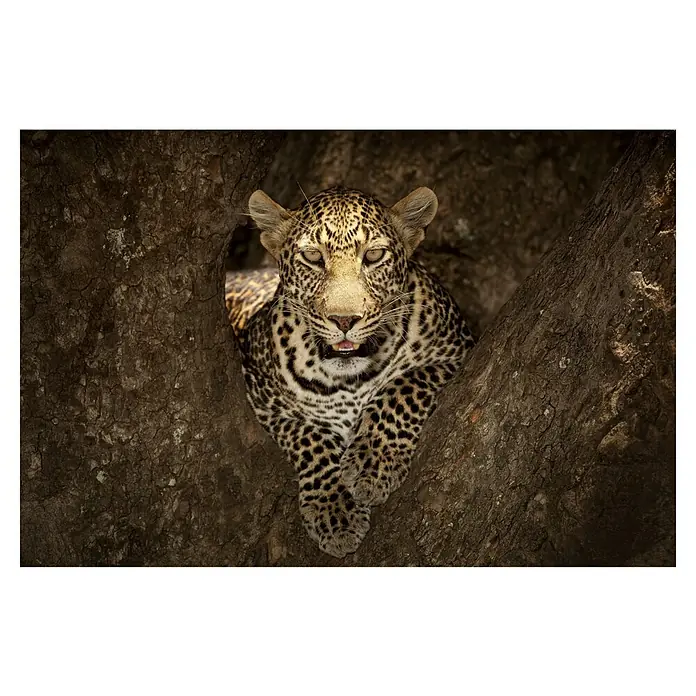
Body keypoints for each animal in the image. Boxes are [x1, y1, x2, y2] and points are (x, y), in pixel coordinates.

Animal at [225, 185, 476, 558]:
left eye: (373, 256)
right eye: (313, 257)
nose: (344, 321)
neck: (349, 379)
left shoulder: (457, 351)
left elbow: (402, 387)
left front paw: (373, 463)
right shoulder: (262, 398)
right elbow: (309, 436)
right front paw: (335, 511)